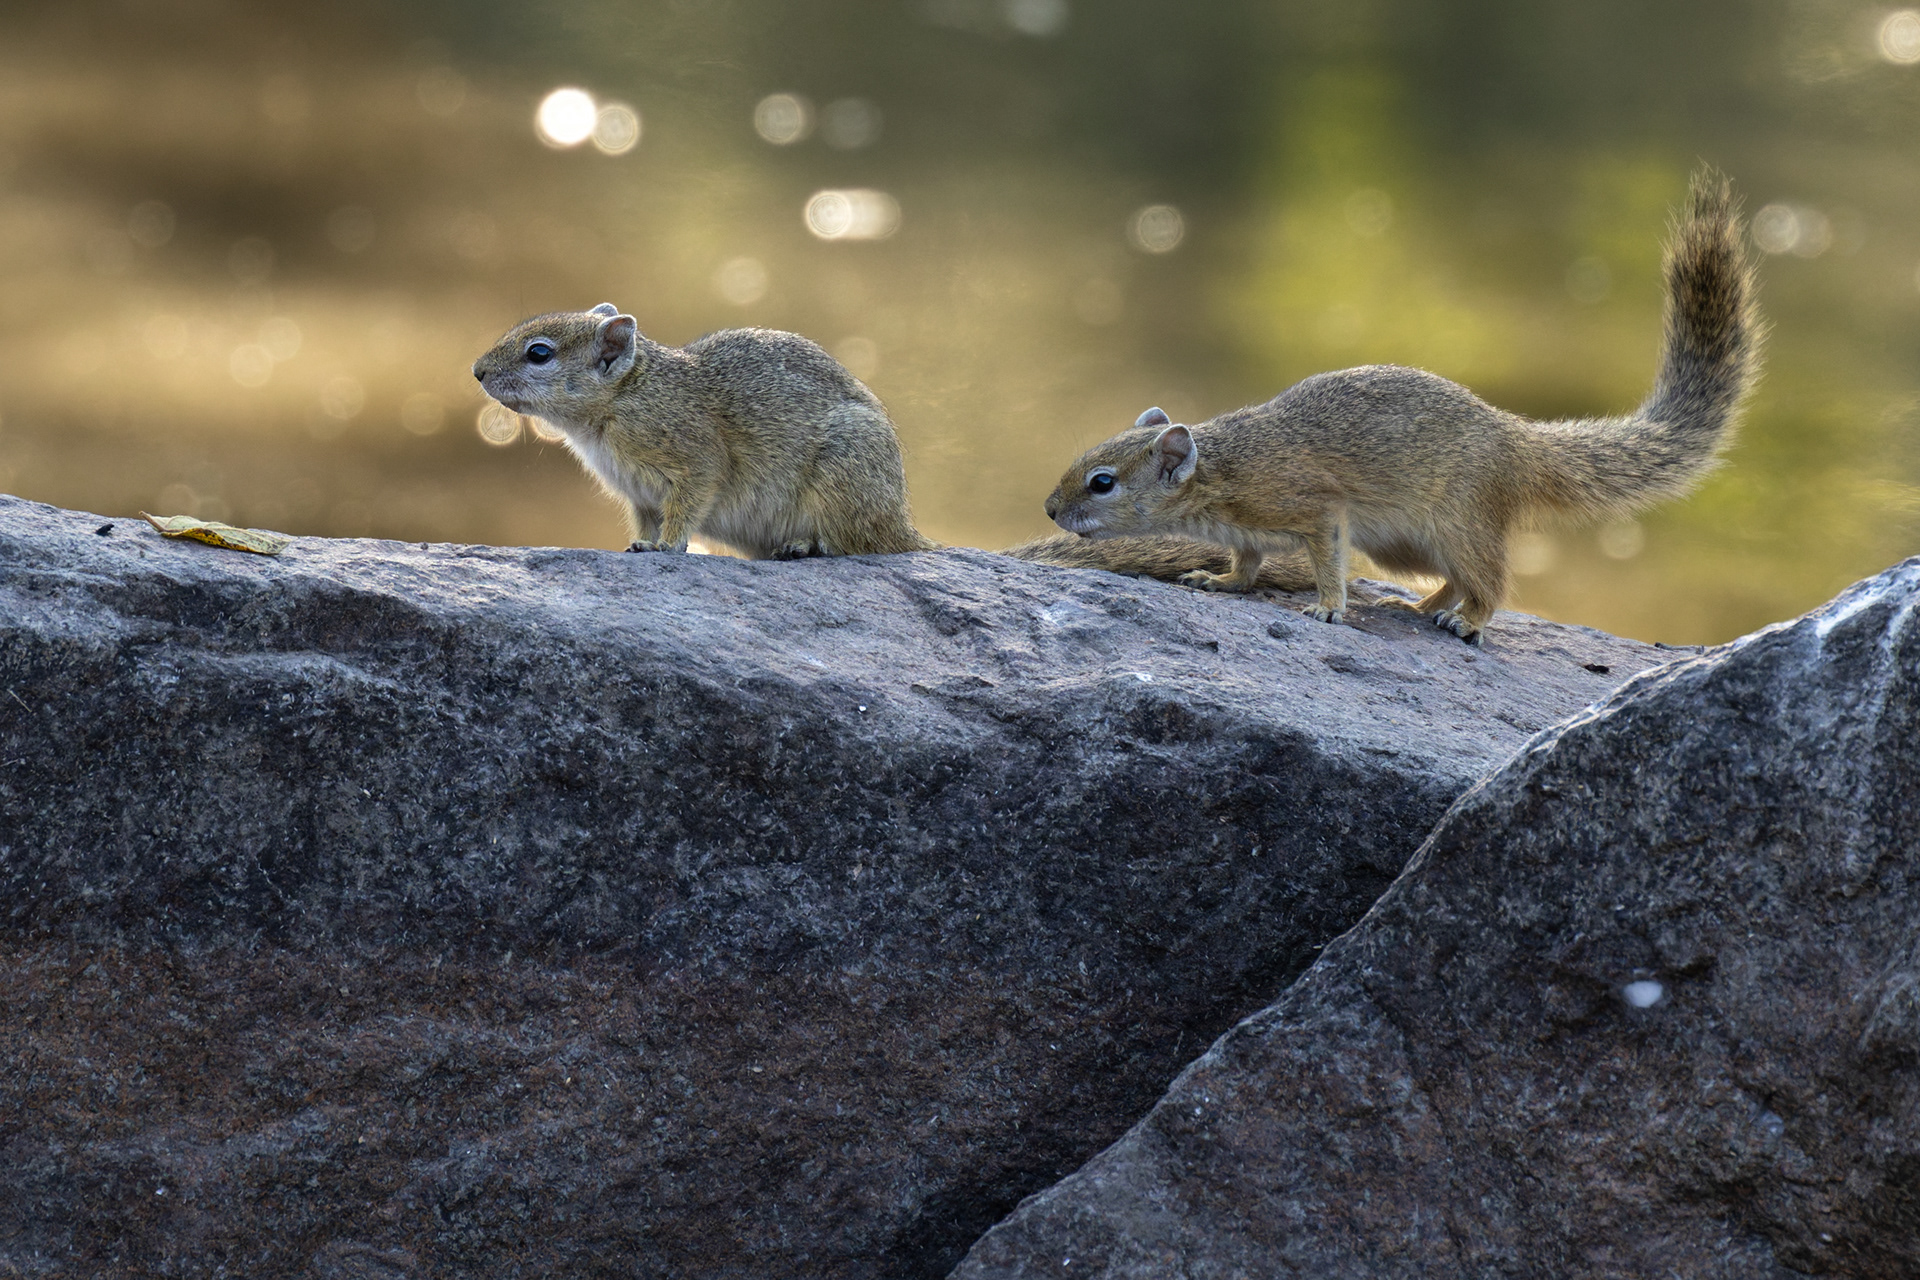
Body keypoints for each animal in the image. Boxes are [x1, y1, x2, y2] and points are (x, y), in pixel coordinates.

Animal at [1042, 167, 1763, 645]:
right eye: (1083, 459)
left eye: (1102, 482)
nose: (1049, 509)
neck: (1223, 472)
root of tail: (1517, 441)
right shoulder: (1250, 536)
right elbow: (1246, 564)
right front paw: (1220, 583)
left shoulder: (1315, 508)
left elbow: (1326, 559)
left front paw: (1328, 607)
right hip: (1403, 547)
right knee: (1456, 578)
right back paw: (1422, 608)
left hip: (1460, 523)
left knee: (1492, 582)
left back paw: (1464, 620)